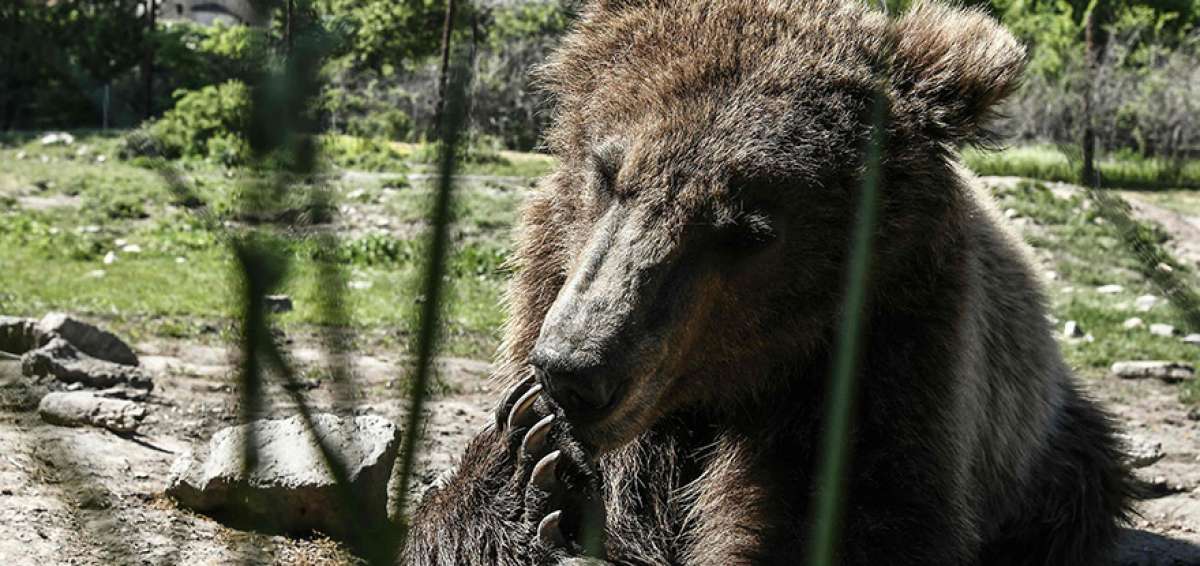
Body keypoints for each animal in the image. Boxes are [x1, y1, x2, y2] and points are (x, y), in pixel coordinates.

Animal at [401, 1, 1134, 564]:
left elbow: (856, 523)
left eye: (750, 230)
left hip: (1050, 446)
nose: (574, 371)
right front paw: (537, 471)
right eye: (607, 172)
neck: (725, 389)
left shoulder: (889, 362)